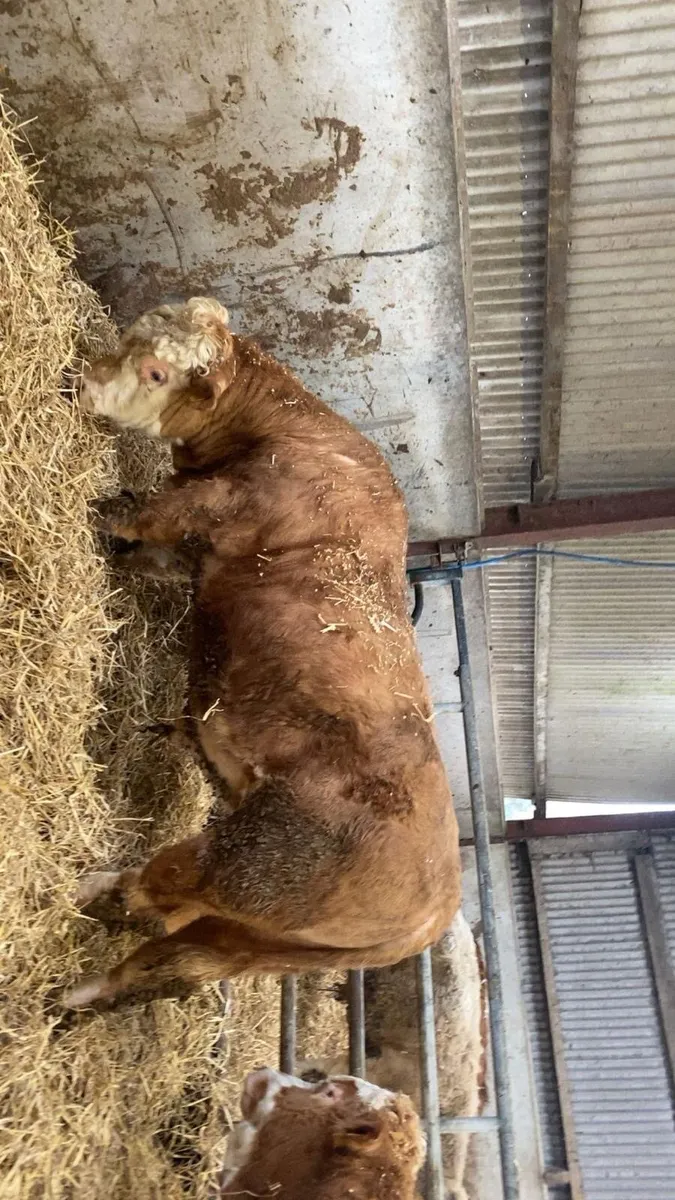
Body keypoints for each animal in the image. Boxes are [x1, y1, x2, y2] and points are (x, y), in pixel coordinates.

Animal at [66, 296, 461, 1009]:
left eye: (157, 371)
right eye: (132, 334)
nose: (83, 381)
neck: (294, 431)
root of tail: (431, 914)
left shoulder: (217, 503)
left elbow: (150, 517)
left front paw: (107, 516)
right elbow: (154, 553)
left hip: (247, 865)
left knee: (159, 887)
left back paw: (91, 889)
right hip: (249, 941)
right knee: (171, 953)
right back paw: (78, 995)